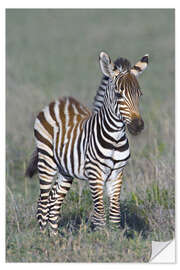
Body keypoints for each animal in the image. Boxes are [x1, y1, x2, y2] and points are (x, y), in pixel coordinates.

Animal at [25, 51, 149, 234]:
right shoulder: (94, 173)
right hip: (46, 161)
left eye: (140, 94)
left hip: (65, 170)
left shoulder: (117, 173)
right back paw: (42, 237)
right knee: (43, 201)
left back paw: (54, 237)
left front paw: (114, 238)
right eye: (119, 94)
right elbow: (99, 214)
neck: (115, 139)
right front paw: (101, 238)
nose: (138, 126)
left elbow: (114, 214)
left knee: (54, 202)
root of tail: (58, 101)